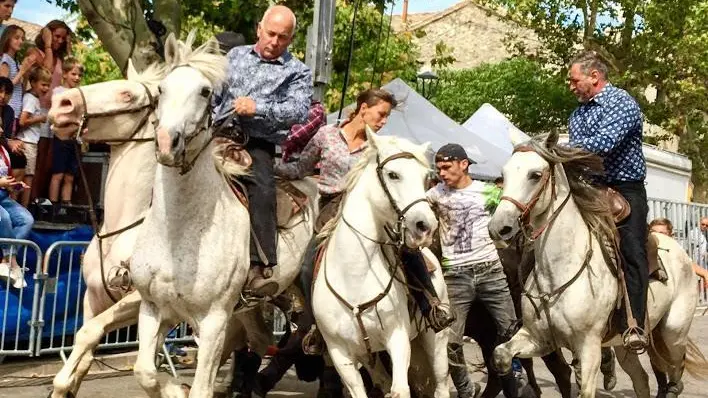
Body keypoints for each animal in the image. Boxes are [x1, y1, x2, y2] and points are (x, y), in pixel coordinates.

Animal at [314, 131, 448, 398]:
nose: (426, 226)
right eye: (393, 174)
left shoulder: (398, 339)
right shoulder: (340, 353)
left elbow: (400, 390)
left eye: (425, 178)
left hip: (435, 341)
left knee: (441, 385)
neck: (354, 277)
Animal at [486, 133, 708, 398]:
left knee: (675, 368)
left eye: (535, 174)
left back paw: (672, 388)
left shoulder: (588, 345)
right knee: (642, 379)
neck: (560, 270)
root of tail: (679, 251)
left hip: (673, 332)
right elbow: (501, 355)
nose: (499, 227)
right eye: (504, 173)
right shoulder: (539, 338)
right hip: (625, 343)